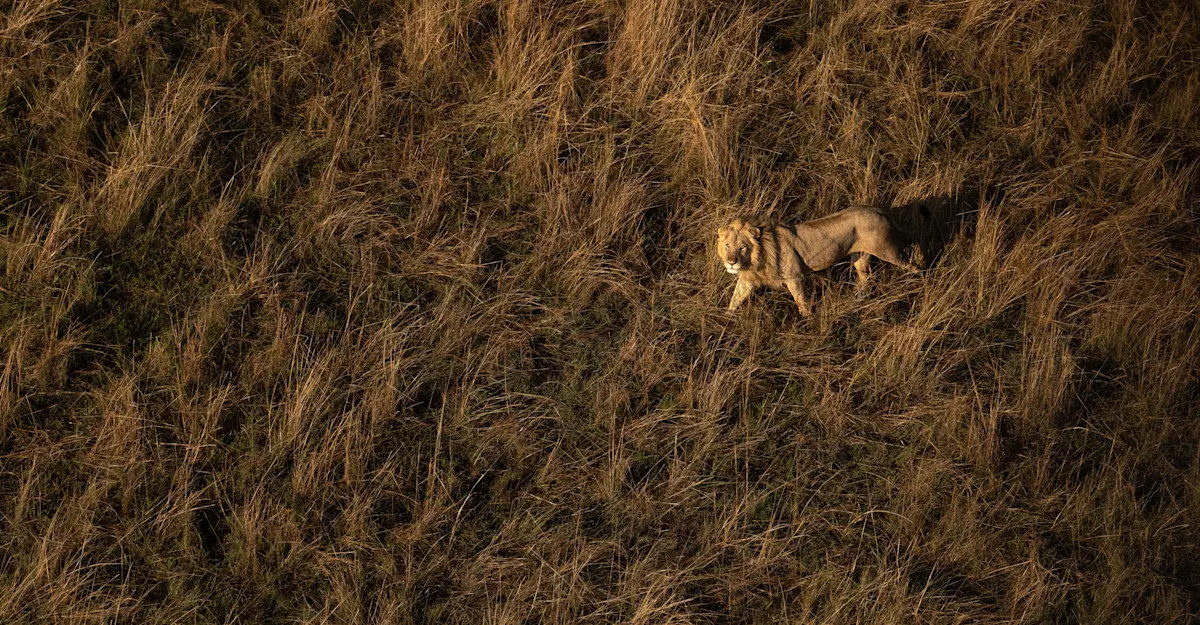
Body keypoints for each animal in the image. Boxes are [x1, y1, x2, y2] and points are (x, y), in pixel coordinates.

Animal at [716, 206, 920, 316]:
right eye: (727, 246)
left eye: (742, 247)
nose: (731, 262)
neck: (757, 259)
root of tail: (879, 210)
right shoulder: (748, 279)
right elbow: (735, 299)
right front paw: (727, 319)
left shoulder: (794, 277)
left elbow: (801, 302)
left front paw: (807, 322)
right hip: (860, 256)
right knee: (865, 277)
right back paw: (857, 298)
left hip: (887, 250)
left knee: (912, 264)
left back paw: (917, 283)